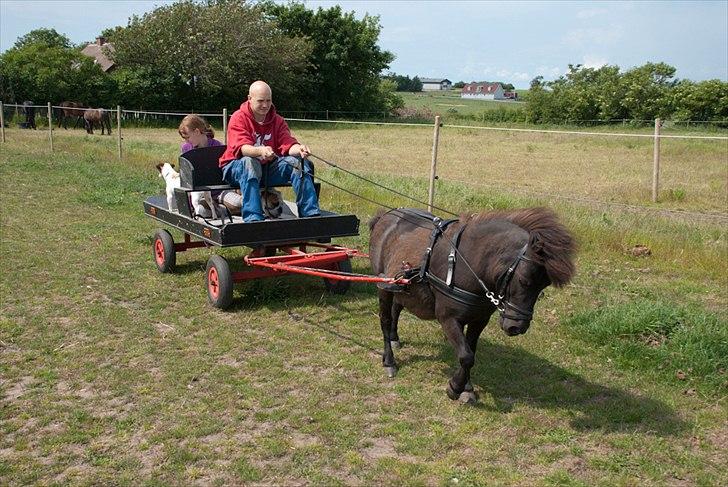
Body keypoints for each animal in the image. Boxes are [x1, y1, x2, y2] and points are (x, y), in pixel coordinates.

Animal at [372, 208, 576, 402]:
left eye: (544, 286)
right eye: (524, 280)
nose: (517, 327)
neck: (466, 263)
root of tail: (385, 216)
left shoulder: (479, 320)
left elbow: (471, 351)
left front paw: (467, 388)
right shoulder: (448, 318)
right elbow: (466, 356)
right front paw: (455, 387)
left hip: (399, 288)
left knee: (397, 308)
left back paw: (394, 337)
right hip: (383, 285)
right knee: (385, 320)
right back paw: (389, 361)